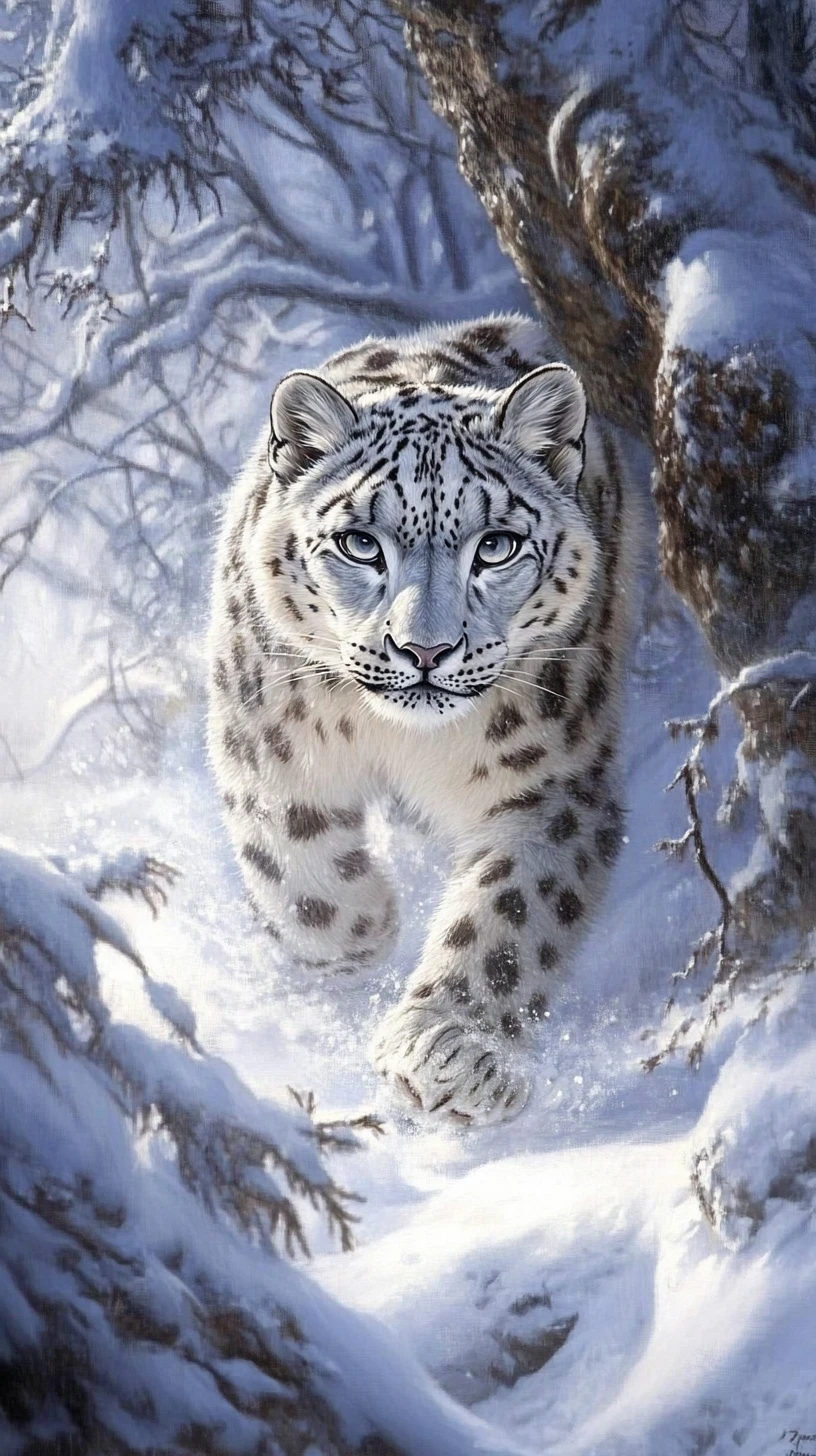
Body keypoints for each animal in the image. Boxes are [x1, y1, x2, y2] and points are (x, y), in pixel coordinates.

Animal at [207, 314, 633, 1125]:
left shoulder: (555, 785)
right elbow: (295, 864)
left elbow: (510, 914)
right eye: (359, 543)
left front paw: (454, 1054)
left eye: (495, 545)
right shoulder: (264, 742)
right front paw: (364, 930)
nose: (425, 649)